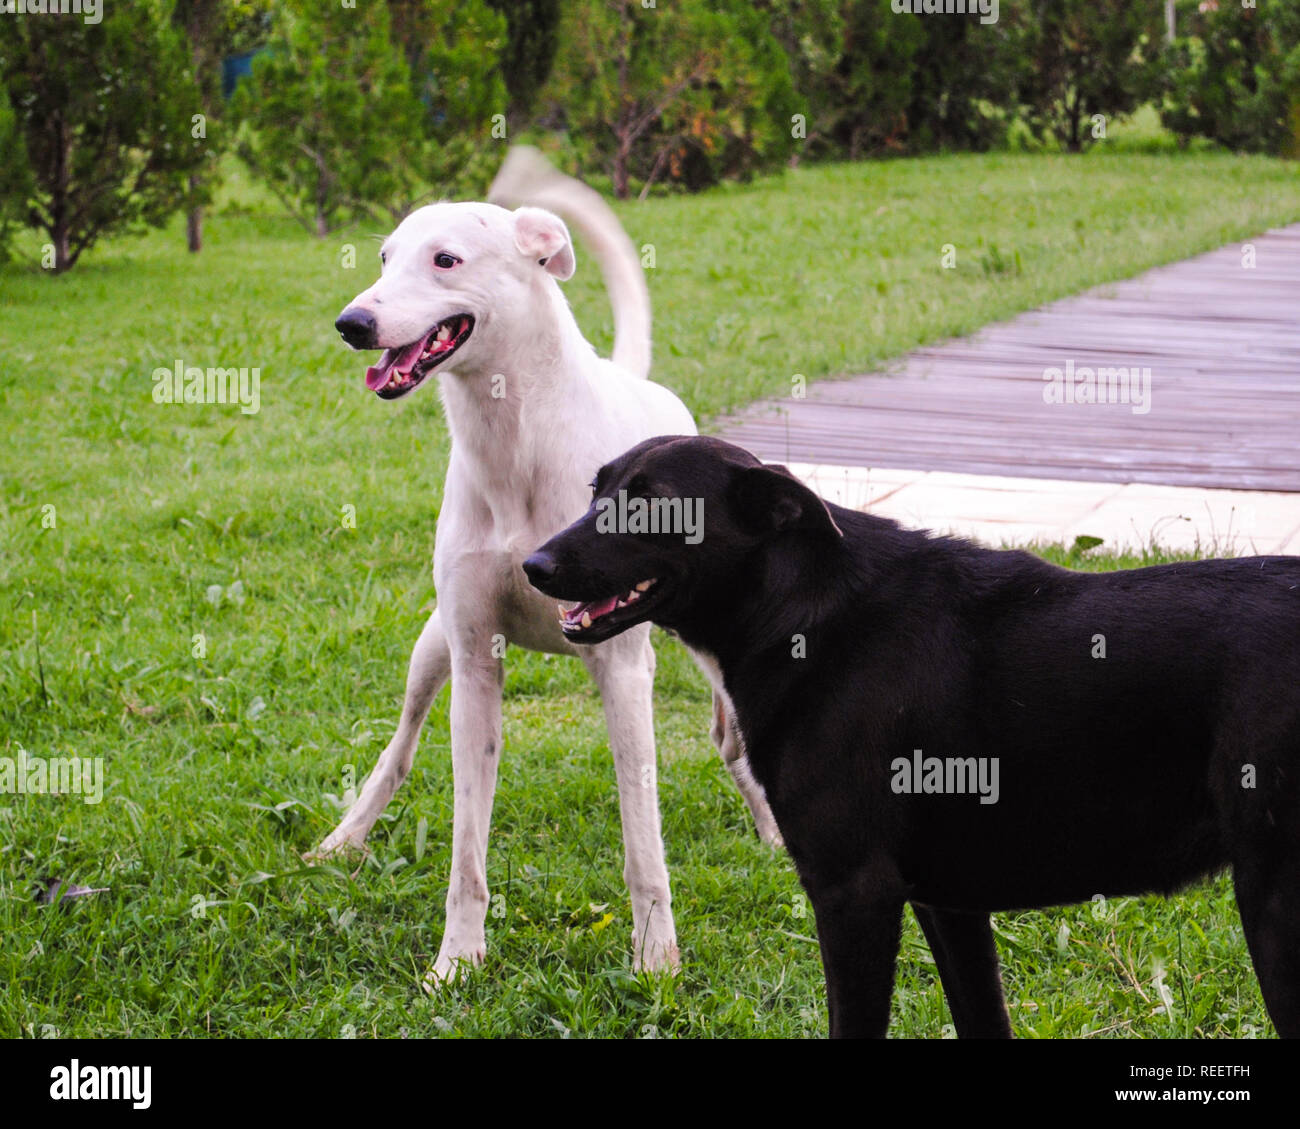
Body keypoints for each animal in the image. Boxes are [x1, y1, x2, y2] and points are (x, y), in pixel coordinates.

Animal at [318, 150, 774, 988]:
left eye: (446, 259)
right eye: (385, 257)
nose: (352, 323)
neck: (515, 443)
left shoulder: (623, 671)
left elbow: (642, 840)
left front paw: (656, 959)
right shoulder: (473, 660)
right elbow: (466, 846)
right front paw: (457, 959)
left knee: (733, 734)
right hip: (429, 646)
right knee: (398, 748)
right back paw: (343, 839)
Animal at [525, 437, 1300, 1035]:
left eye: (650, 503)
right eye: (597, 490)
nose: (533, 565)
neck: (801, 608)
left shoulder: (853, 893)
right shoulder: (949, 905)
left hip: (1273, 902)